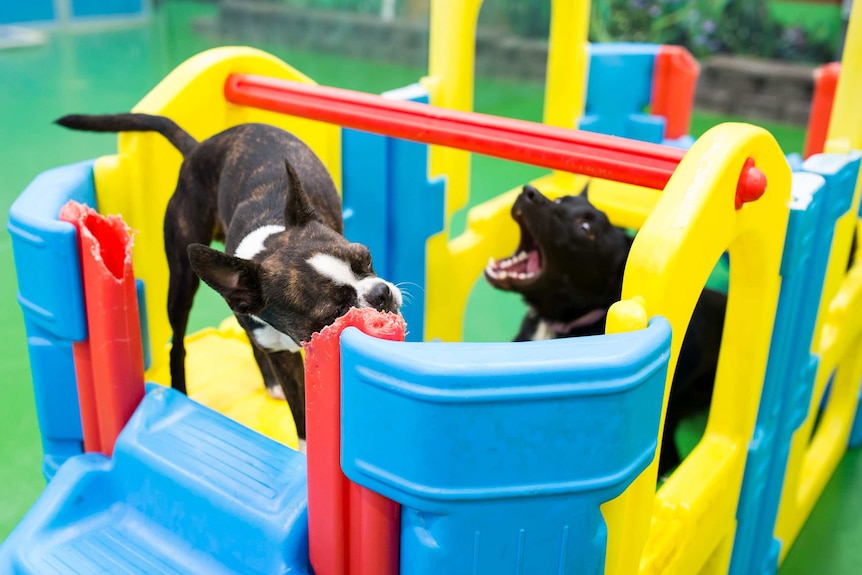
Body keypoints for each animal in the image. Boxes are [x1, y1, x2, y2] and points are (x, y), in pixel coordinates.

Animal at [56, 116, 402, 440]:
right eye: (336, 311)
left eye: (366, 258)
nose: (381, 293)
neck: (267, 244)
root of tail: (197, 148)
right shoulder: (284, 356)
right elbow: (302, 418)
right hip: (182, 282)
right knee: (178, 344)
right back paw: (181, 393)